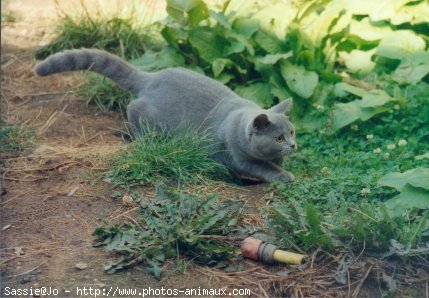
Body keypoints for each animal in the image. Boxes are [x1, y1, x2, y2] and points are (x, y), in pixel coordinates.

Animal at [35, 48, 296, 183]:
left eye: (292, 132)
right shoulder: (239, 157)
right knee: (133, 110)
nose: (293, 145)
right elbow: (262, 168)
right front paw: (285, 176)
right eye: (278, 138)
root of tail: (151, 77)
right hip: (150, 116)